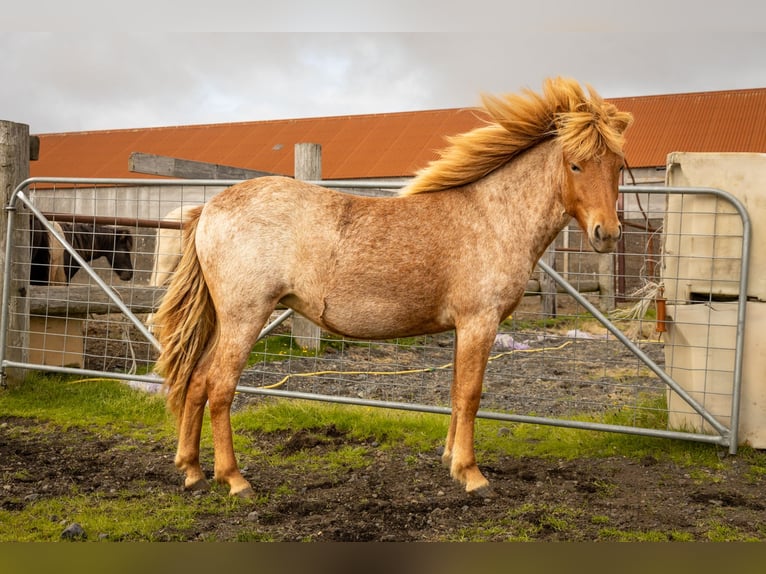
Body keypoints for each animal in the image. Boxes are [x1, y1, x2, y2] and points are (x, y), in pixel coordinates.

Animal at [153, 77, 632, 500]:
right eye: (575, 163)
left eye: (617, 165)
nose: (607, 233)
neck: (490, 215)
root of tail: (209, 207)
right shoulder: (480, 322)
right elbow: (471, 394)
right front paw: (472, 475)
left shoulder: (462, 328)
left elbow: (456, 391)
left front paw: (451, 462)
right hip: (246, 318)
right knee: (219, 388)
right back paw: (234, 480)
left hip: (225, 321)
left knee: (196, 382)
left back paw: (193, 472)